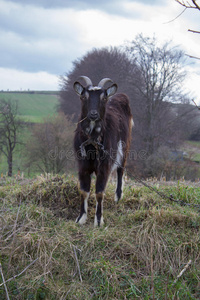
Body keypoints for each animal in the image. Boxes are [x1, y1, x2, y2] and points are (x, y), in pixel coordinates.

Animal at [73, 76, 133, 226]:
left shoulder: (104, 166)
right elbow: (84, 191)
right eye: (84, 96)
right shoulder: (82, 166)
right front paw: (81, 218)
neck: (92, 141)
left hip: (125, 146)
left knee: (120, 169)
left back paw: (118, 196)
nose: (93, 114)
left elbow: (99, 193)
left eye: (103, 97)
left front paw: (99, 220)